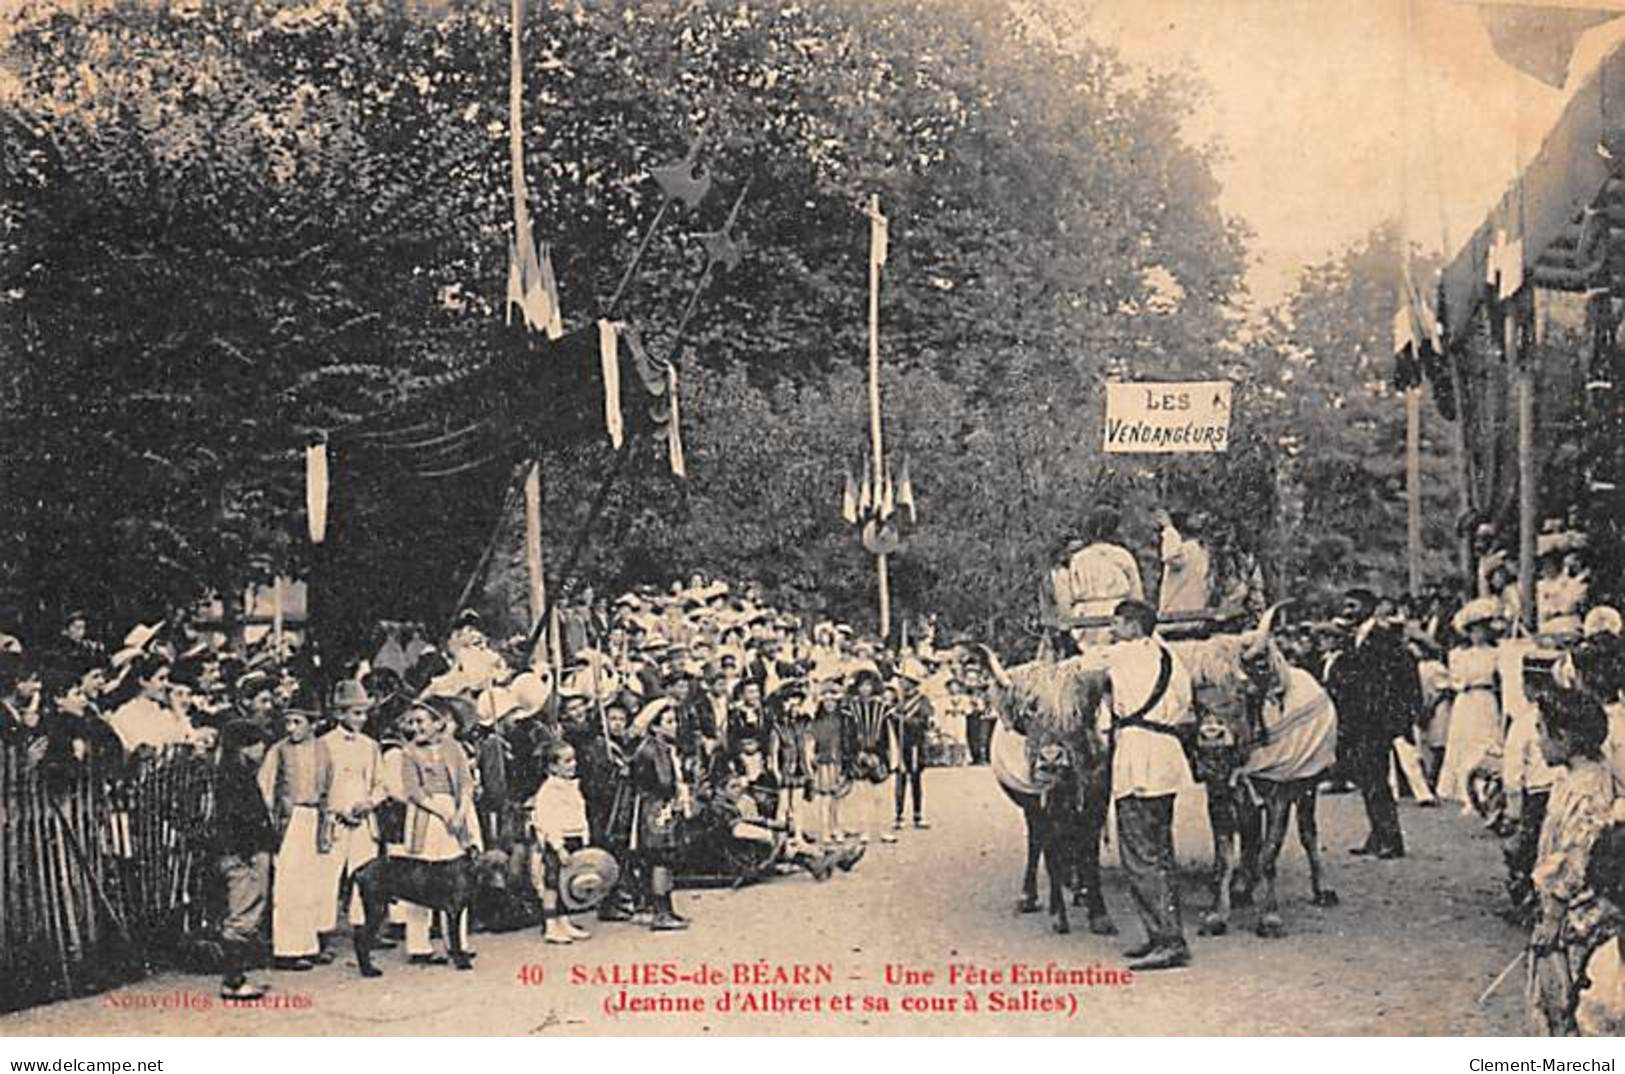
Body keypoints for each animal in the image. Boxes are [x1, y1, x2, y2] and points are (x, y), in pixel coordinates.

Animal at [354, 851, 507, 974]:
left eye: (503, 867)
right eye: (490, 866)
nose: (501, 887)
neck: (469, 871)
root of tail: (361, 869)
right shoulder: (453, 912)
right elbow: (456, 941)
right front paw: (462, 963)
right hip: (376, 909)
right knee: (361, 938)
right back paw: (368, 971)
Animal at [975, 640, 1118, 935]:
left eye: (1076, 712)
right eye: (1031, 711)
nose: (1051, 759)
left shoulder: (1097, 801)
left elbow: (1089, 854)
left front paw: (1098, 913)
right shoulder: (1040, 808)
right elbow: (1050, 852)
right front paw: (1058, 914)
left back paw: (1079, 890)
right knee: (1037, 843)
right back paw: (1030, 897)